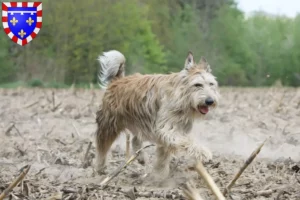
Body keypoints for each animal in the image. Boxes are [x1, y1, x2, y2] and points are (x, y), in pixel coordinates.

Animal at [95, 50, 219, 178]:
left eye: (211, 84)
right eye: (198, 84)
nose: (210, 101)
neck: (181, 97)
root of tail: (117, 80)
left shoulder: (171, 131)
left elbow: (163, 156)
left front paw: (160, 175)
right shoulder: (167, 129)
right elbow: (187, 141)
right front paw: (203, 152)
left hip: (139, 122)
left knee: (135, 139)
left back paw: (141, 157)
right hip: (109, 125)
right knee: (102, 147)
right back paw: (101, 168)